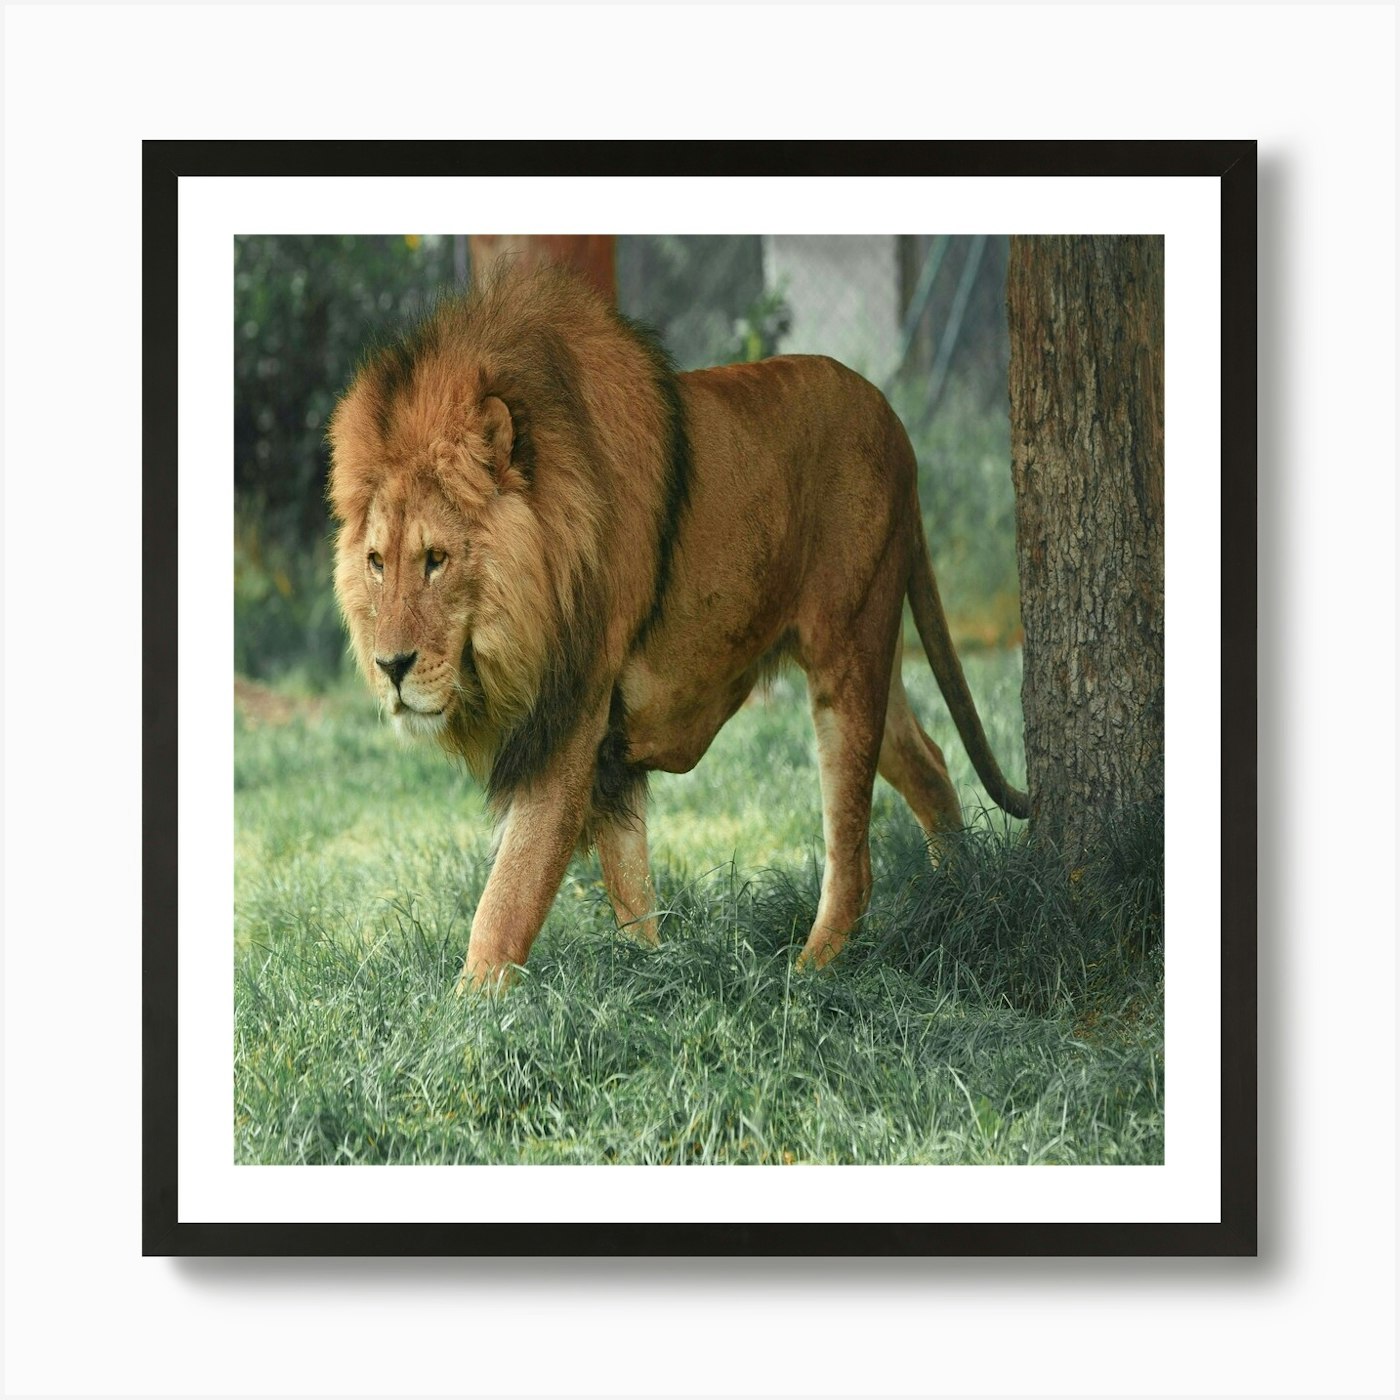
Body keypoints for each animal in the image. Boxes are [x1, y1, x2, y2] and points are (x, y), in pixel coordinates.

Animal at [328, 264, 1028, 990]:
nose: (390, 668)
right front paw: (653, 976)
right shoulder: (606, 748)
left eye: (436, 560)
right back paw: (961, 899)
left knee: (853, 855)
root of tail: (895, 422)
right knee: (930, 760)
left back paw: (807, 975)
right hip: (871, 654)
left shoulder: (571, 720)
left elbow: (509, 897)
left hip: (849, 651)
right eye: (376, 563)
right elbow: (629, 884)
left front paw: (467, 1011)